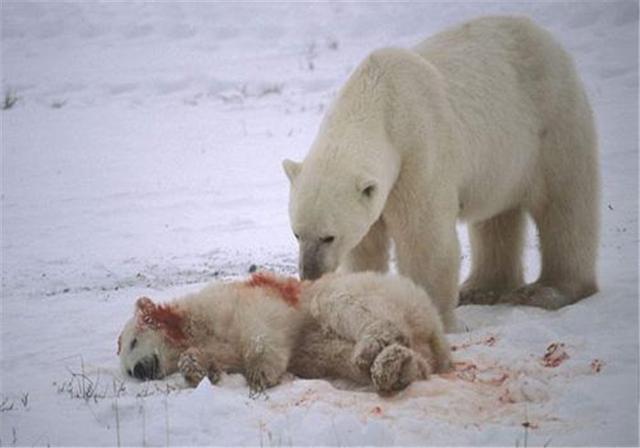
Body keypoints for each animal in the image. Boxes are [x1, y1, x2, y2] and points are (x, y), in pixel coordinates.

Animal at [119, 272, 450, 394]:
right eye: (126, 369)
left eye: (134, 341)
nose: (139, 370)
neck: (192, 322)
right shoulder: (215, 341)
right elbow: (220, 356)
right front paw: (195, 368)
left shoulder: (244, 304)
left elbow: (261, 329)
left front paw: (260, 374)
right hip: (323, 348)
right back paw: (394, 368)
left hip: (358, 291)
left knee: (347, 307)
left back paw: (372, 352)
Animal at [282, 15, 596, 330]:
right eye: (297, 234)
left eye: (329, 236)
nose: (310, 274)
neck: (378, 99)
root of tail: (543, 35)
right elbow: (366, 247)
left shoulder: (419, 152)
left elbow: (424, 239)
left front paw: (435, 318)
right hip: (501, 160)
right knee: (496, 217)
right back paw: (481, 289)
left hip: (551, 122)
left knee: (564, 204)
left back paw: (549, 291)